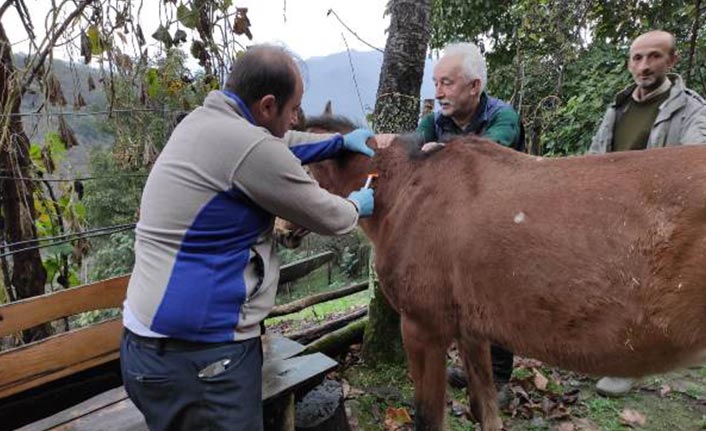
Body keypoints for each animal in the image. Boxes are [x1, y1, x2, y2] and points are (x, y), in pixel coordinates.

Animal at [304, 115, 706, 431]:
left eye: (303, 169)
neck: (409, 190)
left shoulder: (423, 329)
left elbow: (429, 417)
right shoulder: (472, 332)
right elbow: (486, 408)